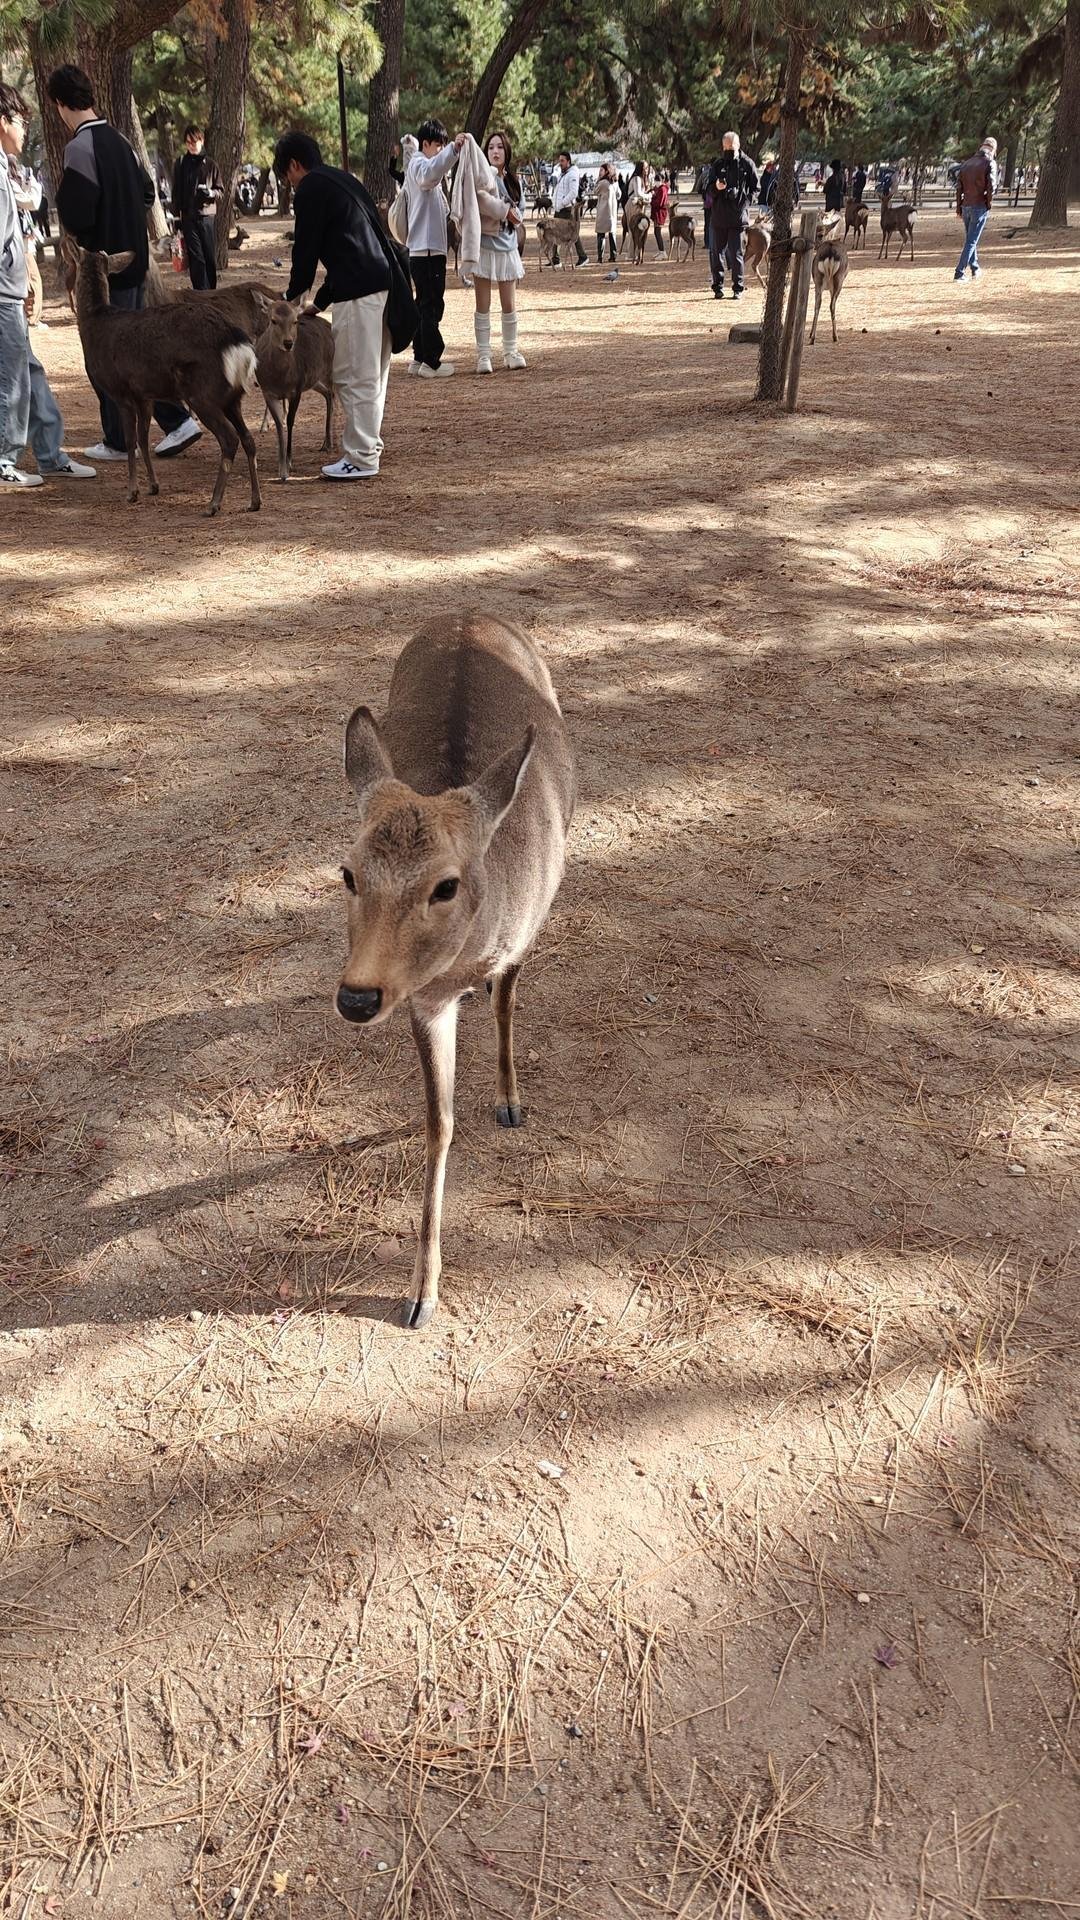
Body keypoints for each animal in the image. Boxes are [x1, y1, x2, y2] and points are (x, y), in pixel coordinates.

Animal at [336, 613, 575, 1330]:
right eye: (347, 872)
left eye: (445, 885)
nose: (357, 998)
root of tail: (470, 610)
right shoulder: (423, 999)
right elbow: (438, 1122)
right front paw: (421, 1294)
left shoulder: (527, 933)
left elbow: (506, 1004)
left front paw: (510, 1102)